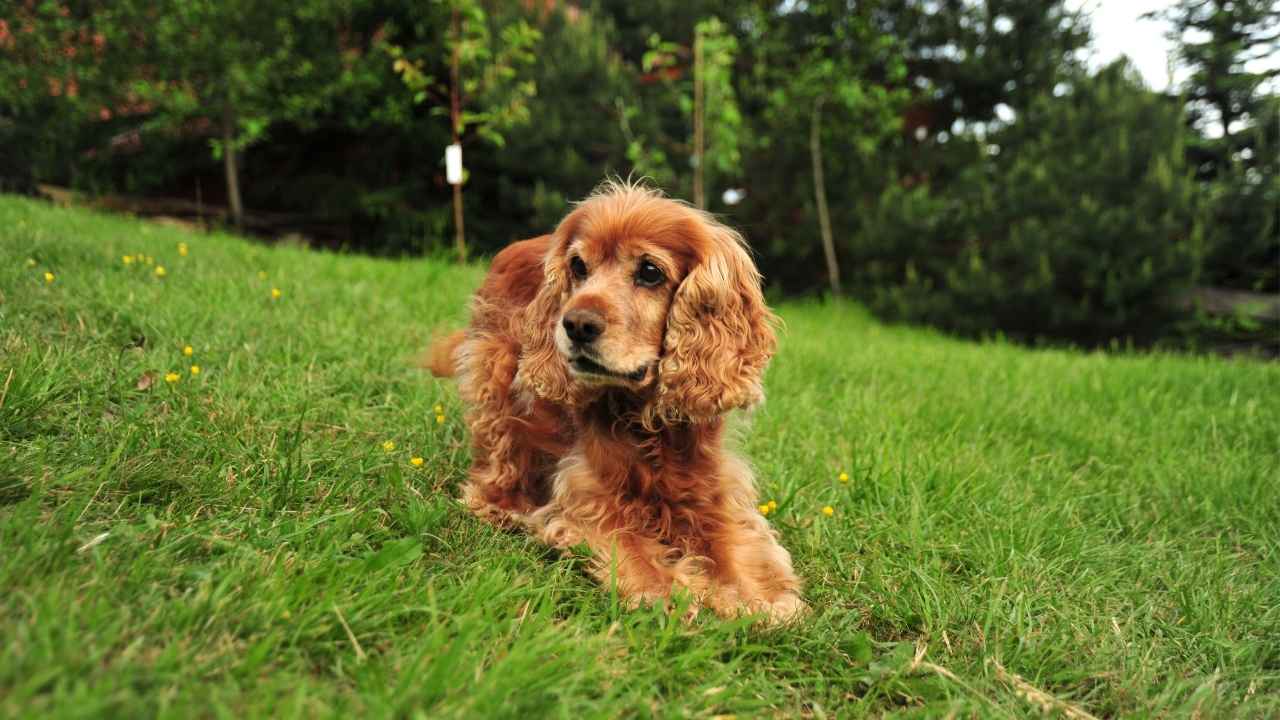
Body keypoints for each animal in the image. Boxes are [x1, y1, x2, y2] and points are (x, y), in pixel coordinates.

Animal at [435, 179, 803, 622]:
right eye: (579, 267)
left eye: (650, 271)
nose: (575, 324)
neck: (646, 420)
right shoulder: (588, 496)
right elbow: (629, 546)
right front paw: (666, 592)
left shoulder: (712, 490)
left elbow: (733, 547)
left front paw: (756, 597)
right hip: (495, 375)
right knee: (498, 454)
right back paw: (501, 505)